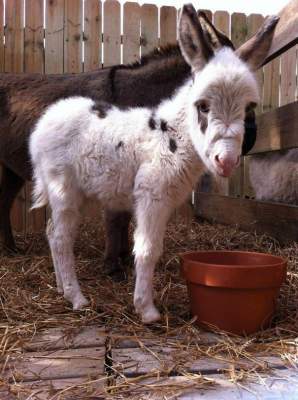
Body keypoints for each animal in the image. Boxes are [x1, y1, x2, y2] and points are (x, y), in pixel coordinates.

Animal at [29, 4, 278, 324]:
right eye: (203, 106)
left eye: (249, 107)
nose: (226, 161)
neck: (171, 134)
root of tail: (46, 121)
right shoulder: (152, 196)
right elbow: (147, 249)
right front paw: (147, 310)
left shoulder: (166, 201)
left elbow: (153, 246)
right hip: (63, 189)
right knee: (61, 239)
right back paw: (77, 298)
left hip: (73, 193)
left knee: (52, 233)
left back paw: (62, 288)